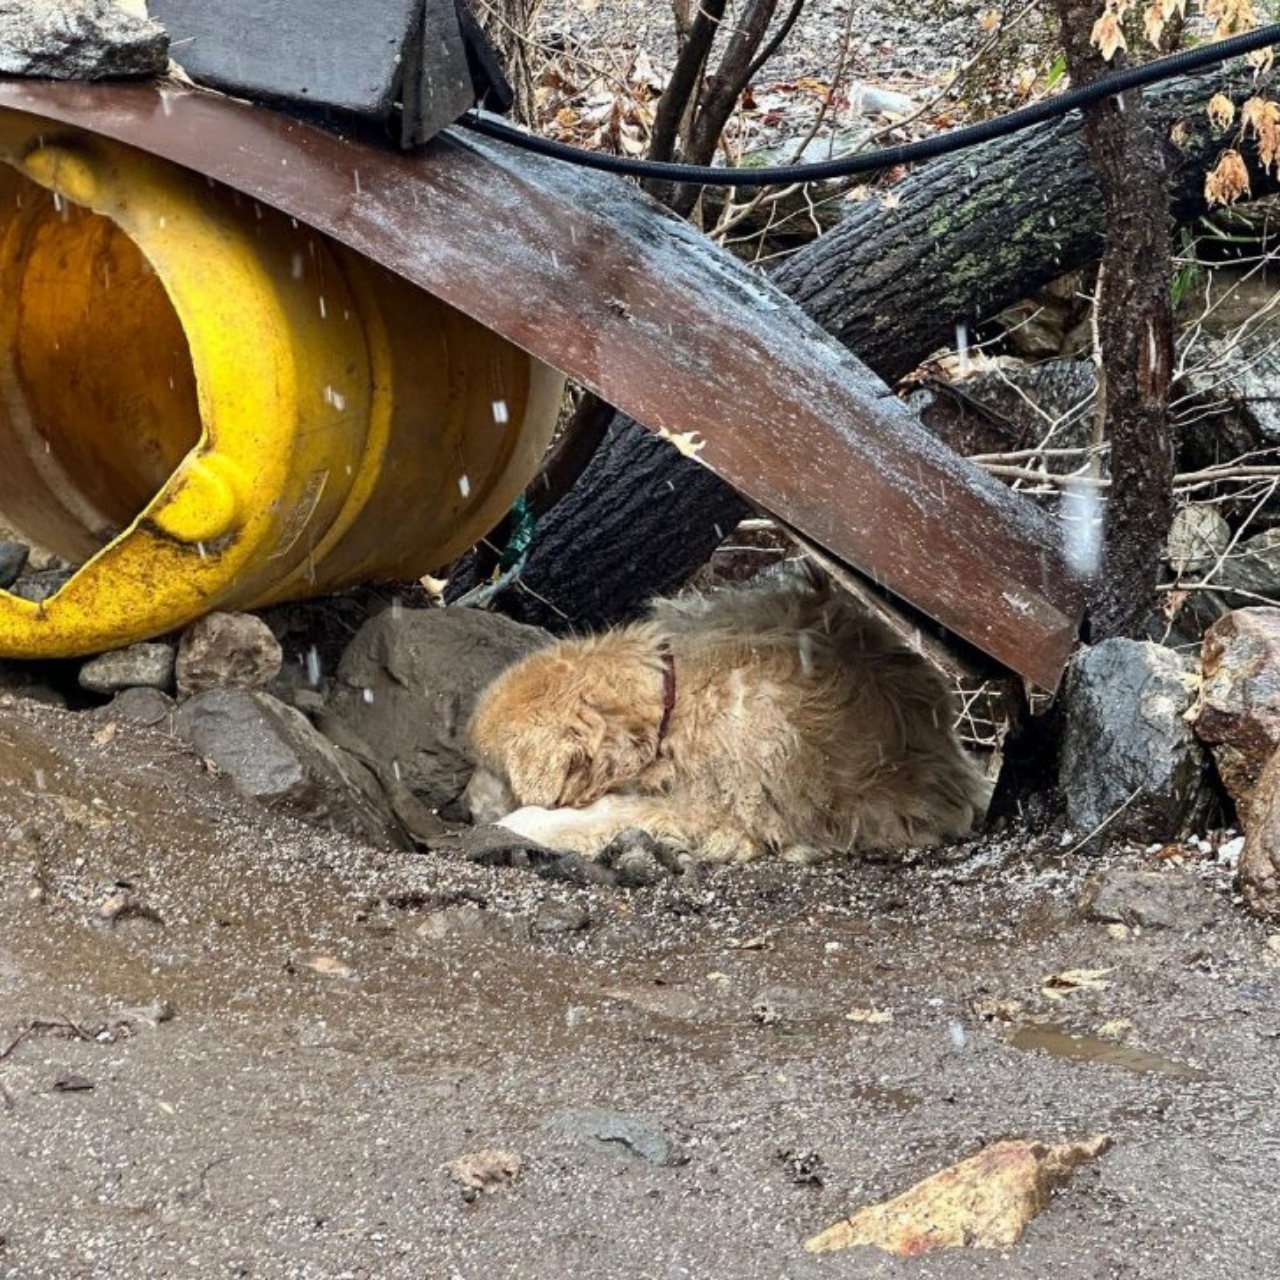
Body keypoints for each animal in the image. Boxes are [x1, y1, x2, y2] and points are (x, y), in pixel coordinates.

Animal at [465, 573, 993, 865]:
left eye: (496, 770)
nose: (466, 808)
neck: (678, 697)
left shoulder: (722, 805)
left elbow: (615, 812)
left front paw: (523, 824)